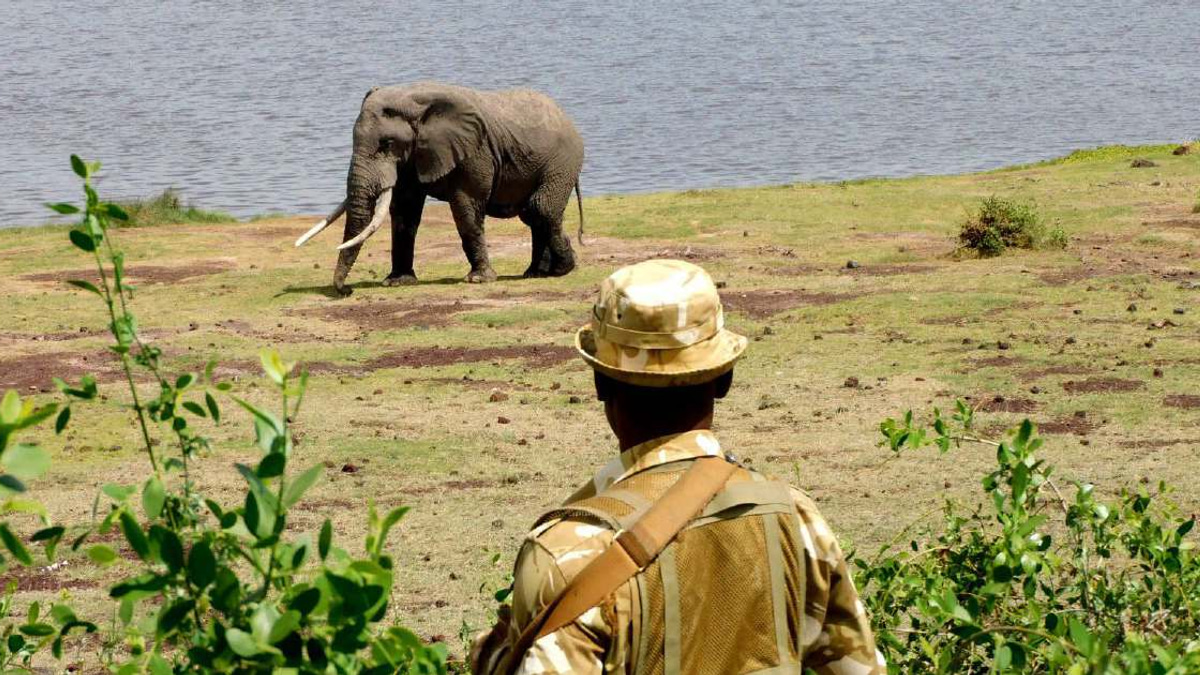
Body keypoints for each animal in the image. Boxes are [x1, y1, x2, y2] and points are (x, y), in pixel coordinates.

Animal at [295, 82, 584, 295]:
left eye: (386, 144)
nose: (346, 291)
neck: (414, 102)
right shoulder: (412, 157)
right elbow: (405, 212)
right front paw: (397, 282)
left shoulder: (474, 152)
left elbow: (465, 207)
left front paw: (479, 280)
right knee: (533, 214)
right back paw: (536, 273)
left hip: (562, 162)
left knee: (540, 209)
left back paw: (563, 268)